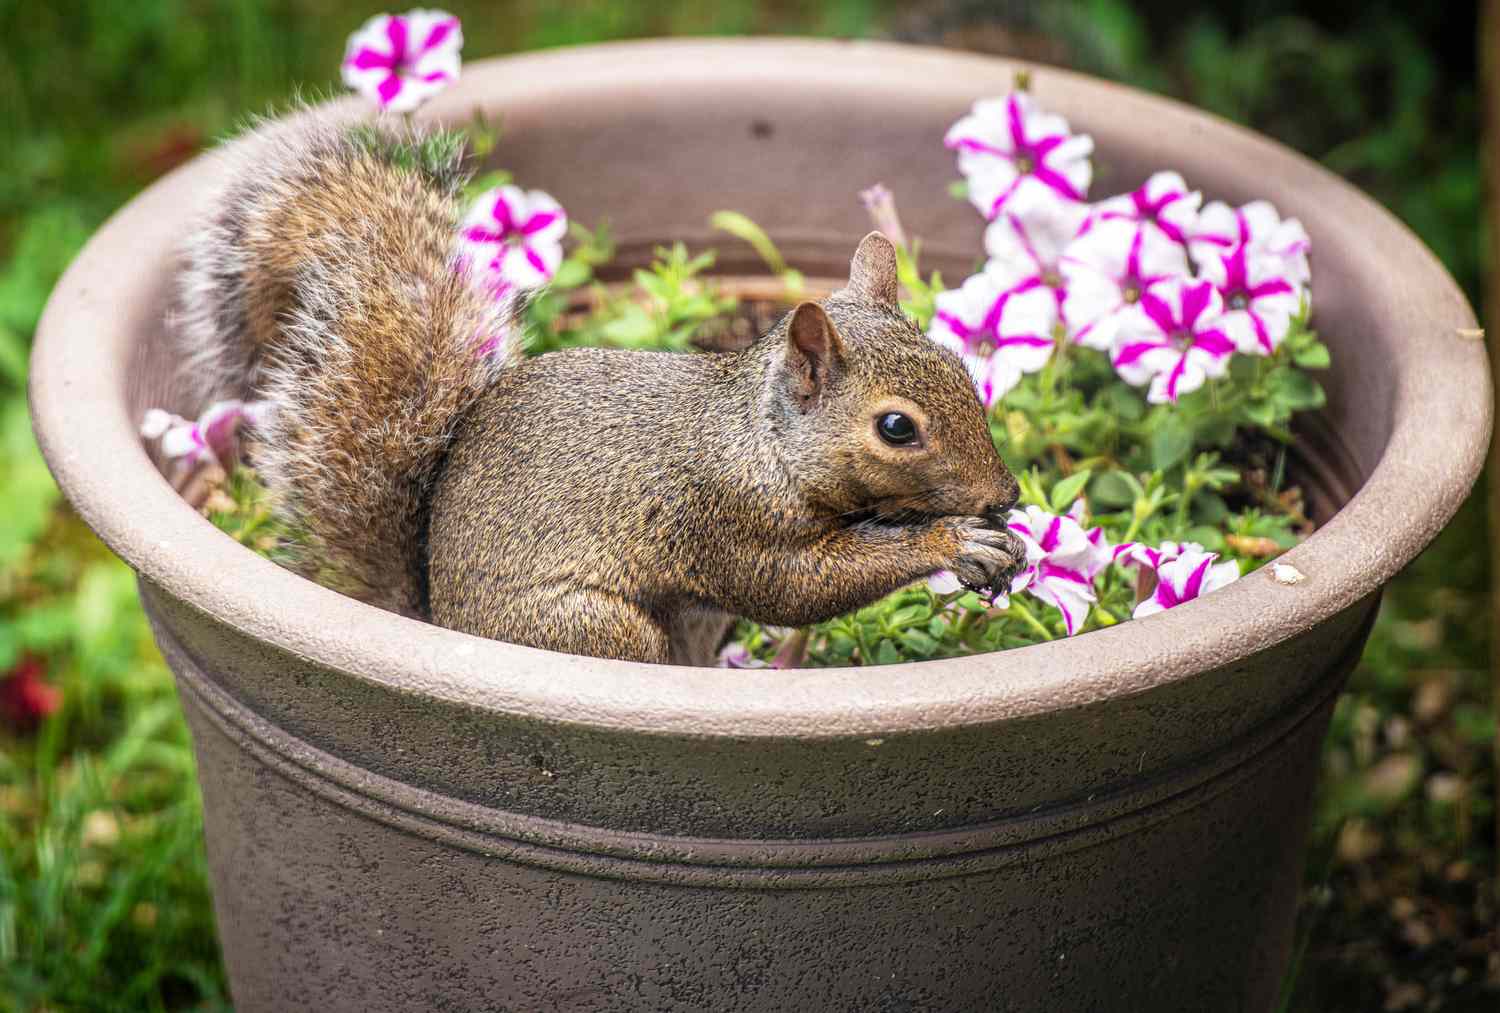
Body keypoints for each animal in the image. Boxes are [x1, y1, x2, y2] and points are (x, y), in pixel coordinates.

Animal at [171, 112, 1025, 665]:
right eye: (896, 428)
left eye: (961, 367)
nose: (1007, 493)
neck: (762, 442)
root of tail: (443, 622)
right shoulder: (725, 518)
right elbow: (795, 588)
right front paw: (953, 541)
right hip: (596, 628)